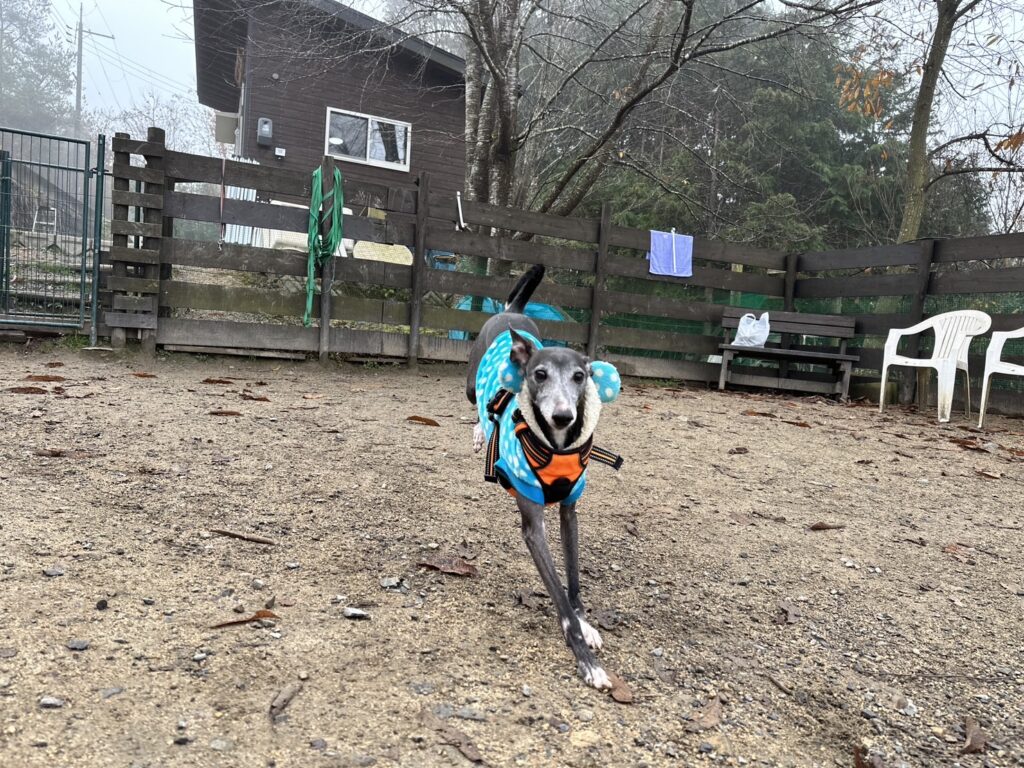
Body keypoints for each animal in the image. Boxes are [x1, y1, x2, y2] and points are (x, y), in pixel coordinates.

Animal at [466, 264, 623, 690]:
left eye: (580, 377)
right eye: (539, 375)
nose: (563, 416)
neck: (555, 447)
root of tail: (511, 313)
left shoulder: (570, 512)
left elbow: (573, 580)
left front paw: (587, 625)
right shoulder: (533, 526)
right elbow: (561, 602)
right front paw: (587, 661)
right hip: (470, 385)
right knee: (475, 406)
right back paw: (481, 432)